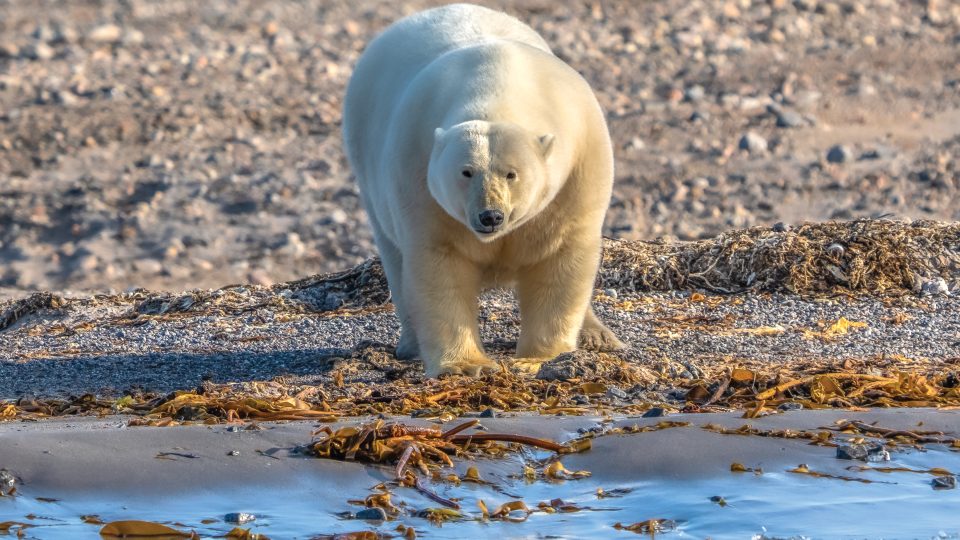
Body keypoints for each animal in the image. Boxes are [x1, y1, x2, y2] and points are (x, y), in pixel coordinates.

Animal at [344, 4, 624, 378]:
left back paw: (598, 335)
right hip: (368, 168)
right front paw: (467, 366)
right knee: (395, 259)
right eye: (466, 172)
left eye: (511, 174)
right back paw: (410, 344)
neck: (498, 82)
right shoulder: (418, 173)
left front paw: (536, 359)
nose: (490, 215)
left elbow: (560, 258)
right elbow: (441, 265)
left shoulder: (576, 169)